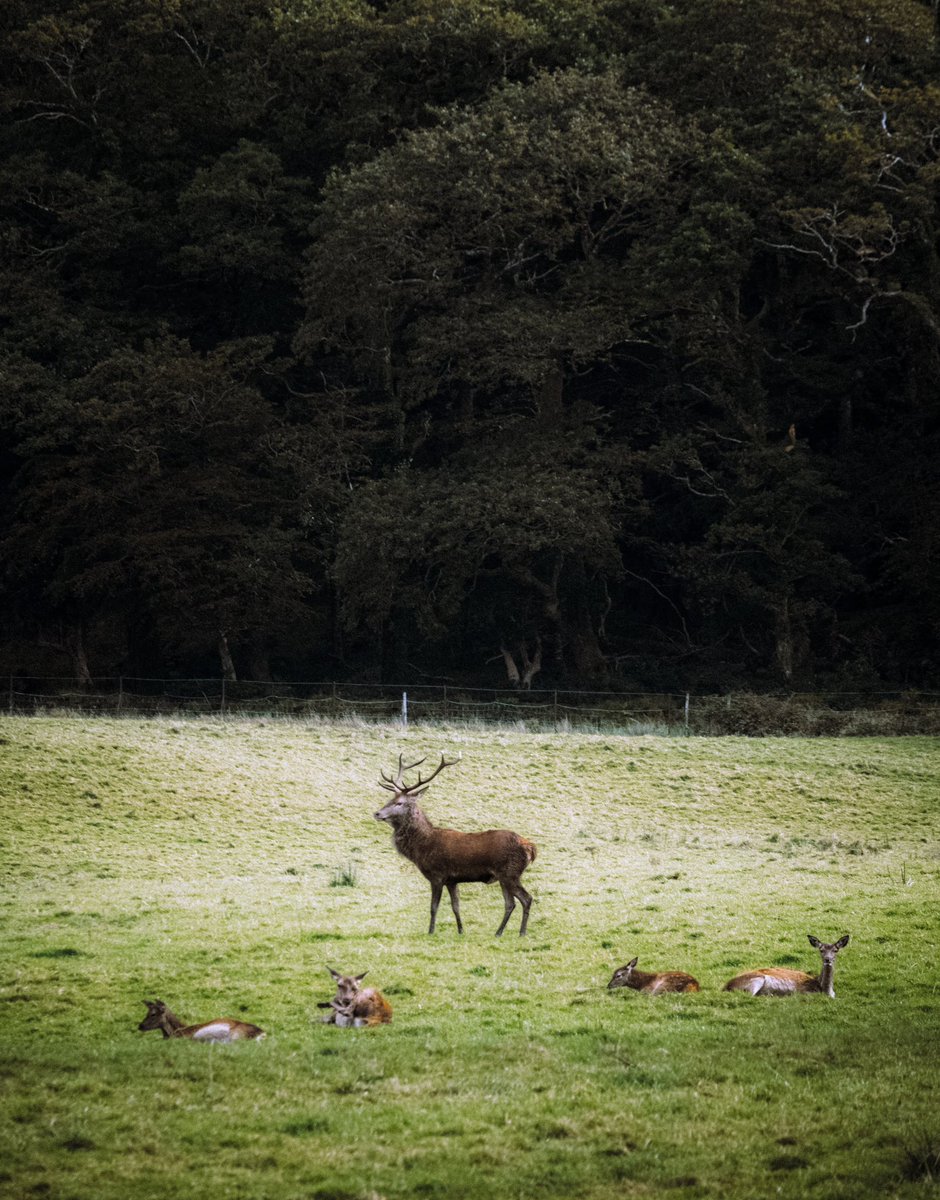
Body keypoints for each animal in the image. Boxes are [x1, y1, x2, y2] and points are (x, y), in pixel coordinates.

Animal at [374, 753, 537, 936]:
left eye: (400, 802)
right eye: (390, 799)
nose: (377, 813)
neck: (421, 848)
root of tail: (531, 848)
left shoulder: (437, 876)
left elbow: (433, 907)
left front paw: (431, 931)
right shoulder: (452, 880)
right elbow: (456, 906)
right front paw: (460, 930)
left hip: (510, 873)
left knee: (526, 898)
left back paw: (521, 933)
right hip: (504, 877)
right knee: (510, 903)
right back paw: (498, 933)